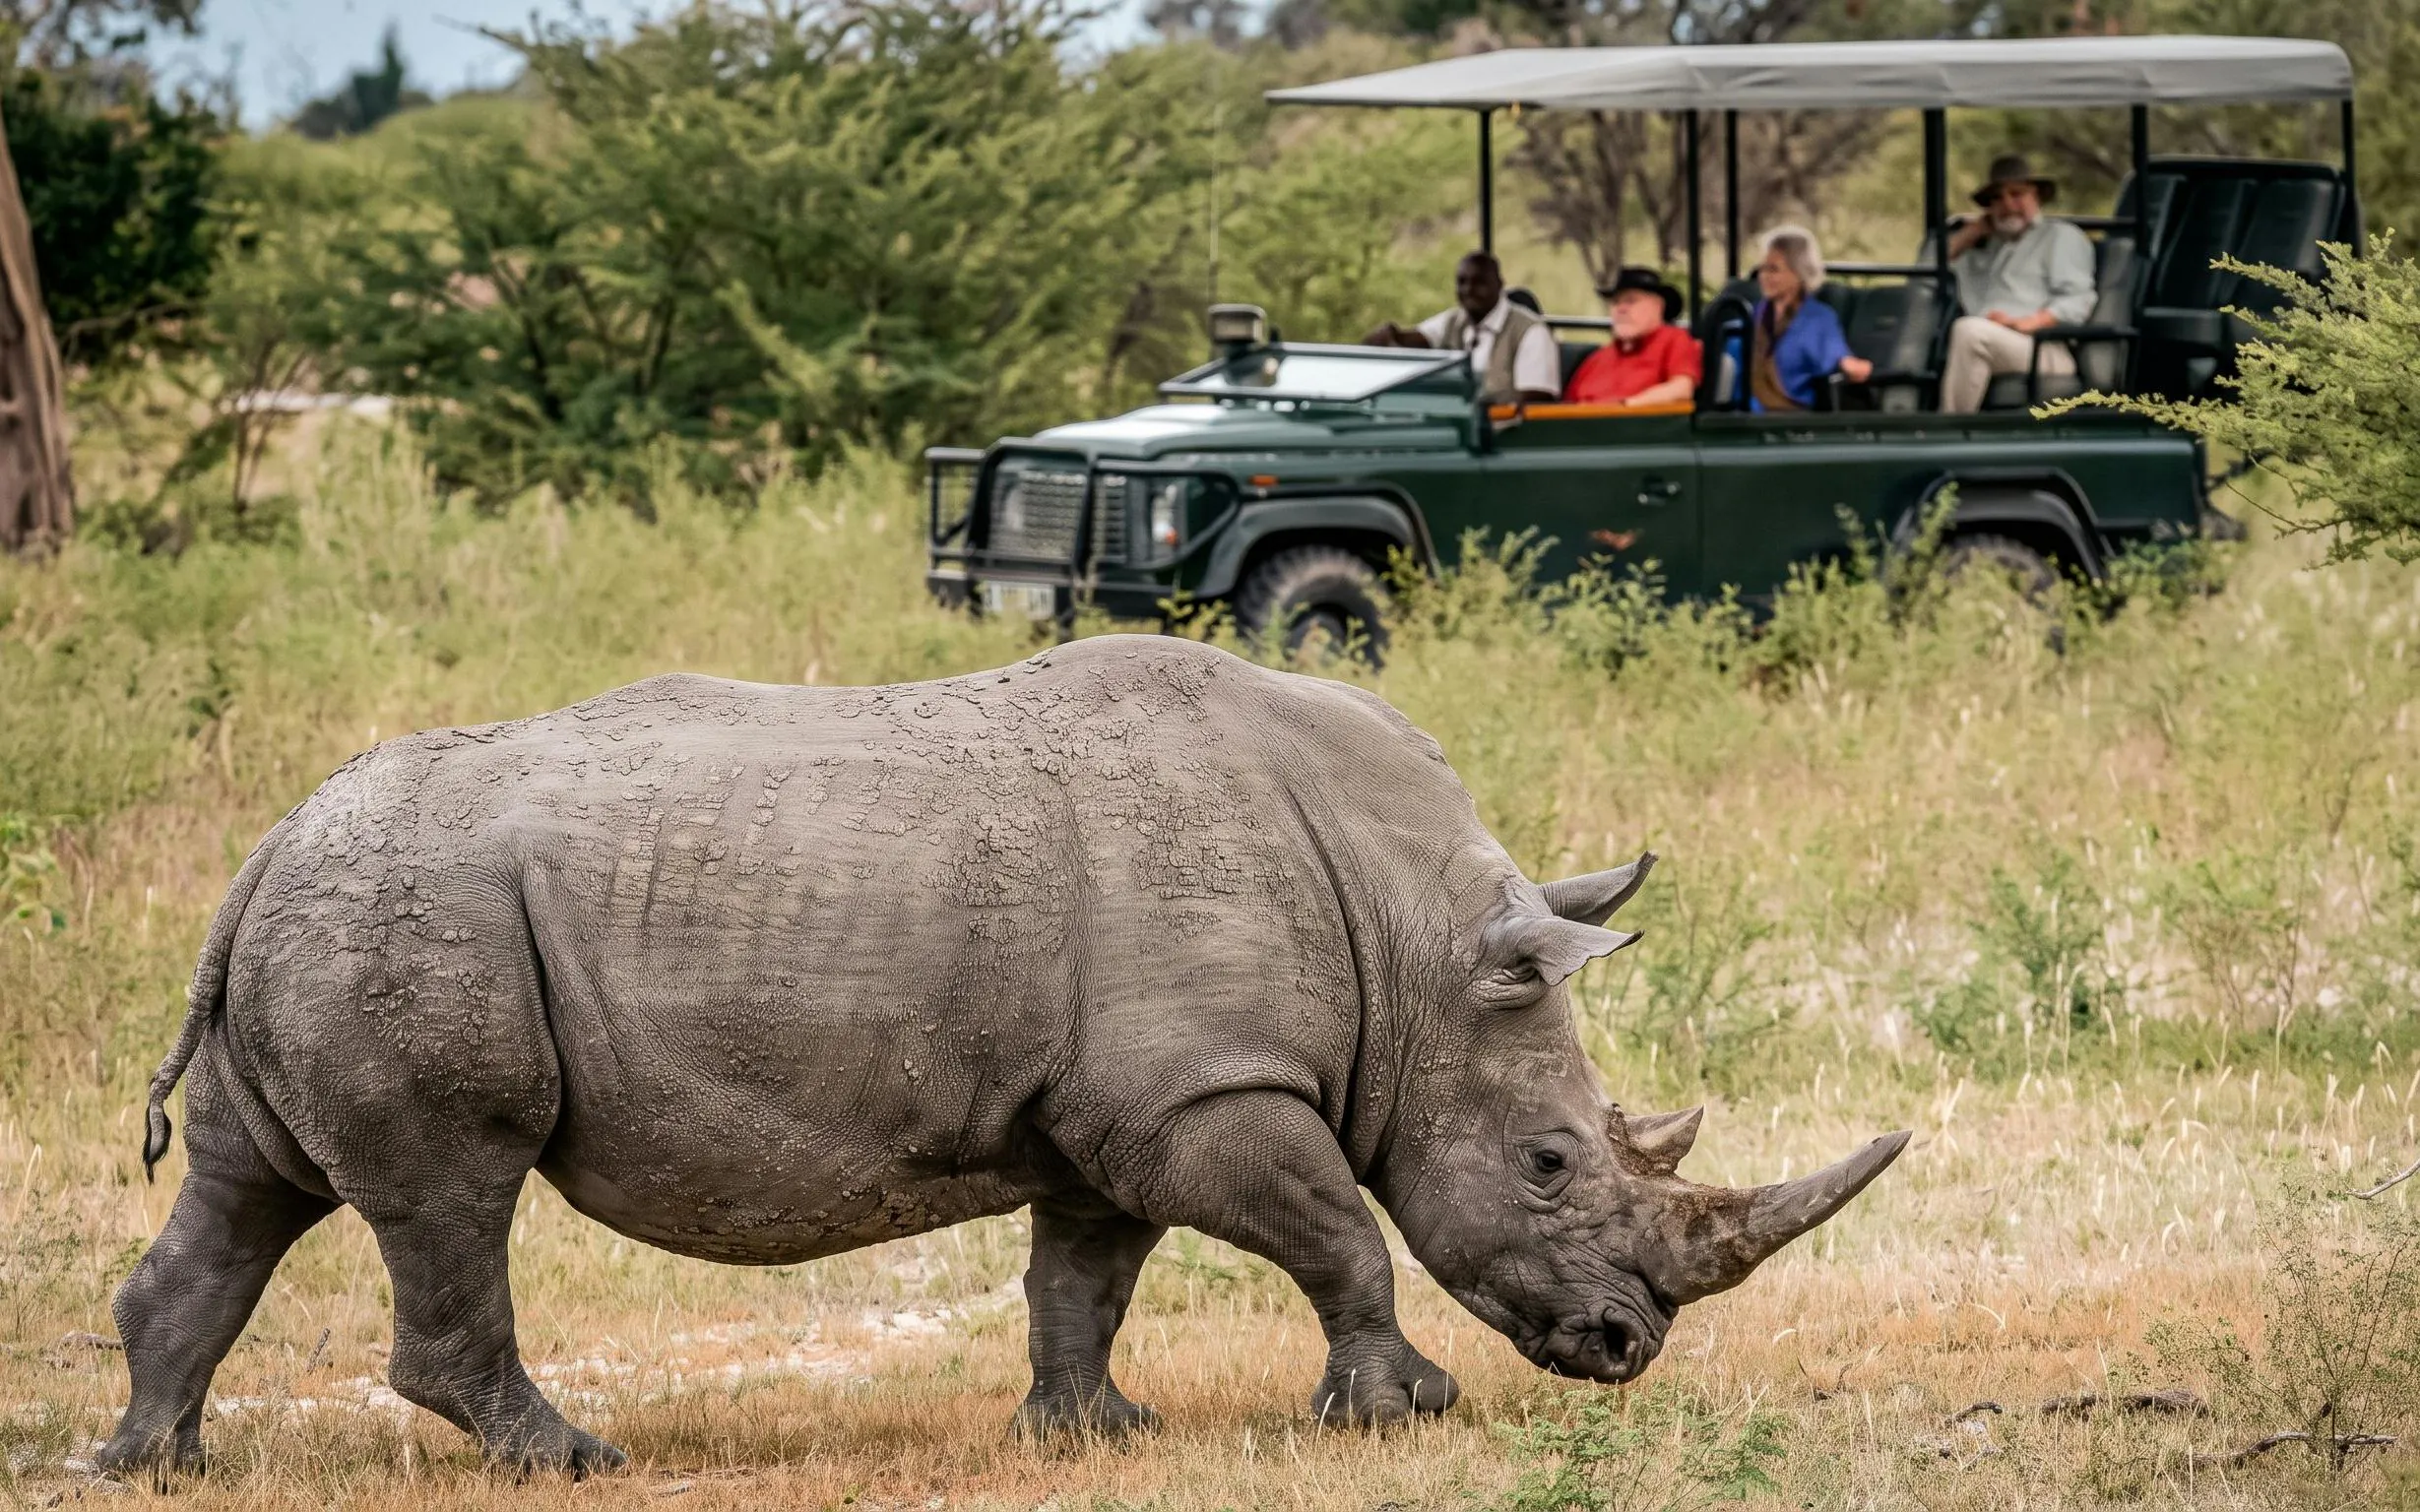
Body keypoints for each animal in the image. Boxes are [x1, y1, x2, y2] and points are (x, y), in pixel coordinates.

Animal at [100, 635, 1905, 1475]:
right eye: (1546, 1163)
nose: (1620, 1348)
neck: (1414, 943)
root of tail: (263, 850)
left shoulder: (1121, 1106)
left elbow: (1082, 1274)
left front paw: (1093, 1435)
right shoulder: (1204, 1090)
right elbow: (1339, 1233)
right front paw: (1399, 1411)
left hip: (338, 915)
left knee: (253, 1188)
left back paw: (154, 1465)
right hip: (412, 923)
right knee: (450, 1193)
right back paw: (571, 1459)